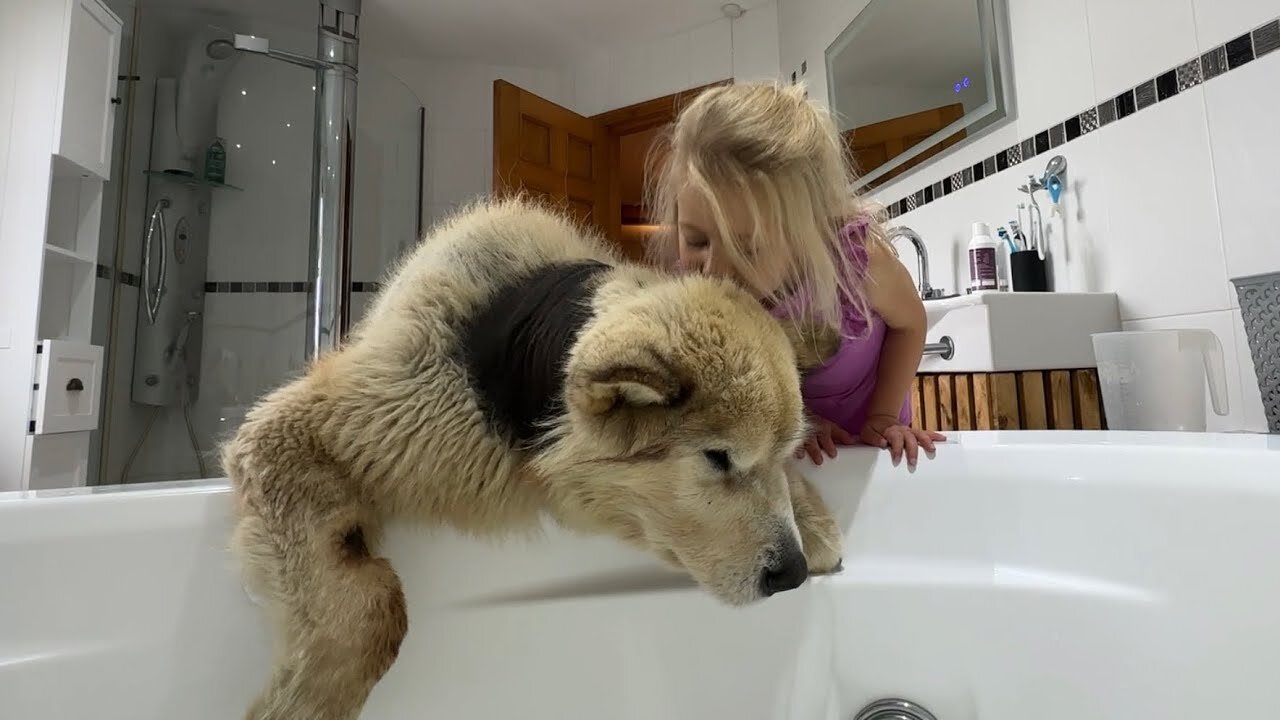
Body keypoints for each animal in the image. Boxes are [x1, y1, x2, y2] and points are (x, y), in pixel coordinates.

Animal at [225, 196, 844, 717]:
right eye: (718, 459)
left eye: (784, 452)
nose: (789, 574)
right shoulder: (336, 425)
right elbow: (371, 608)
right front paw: (307, 698)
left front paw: (811, 518)